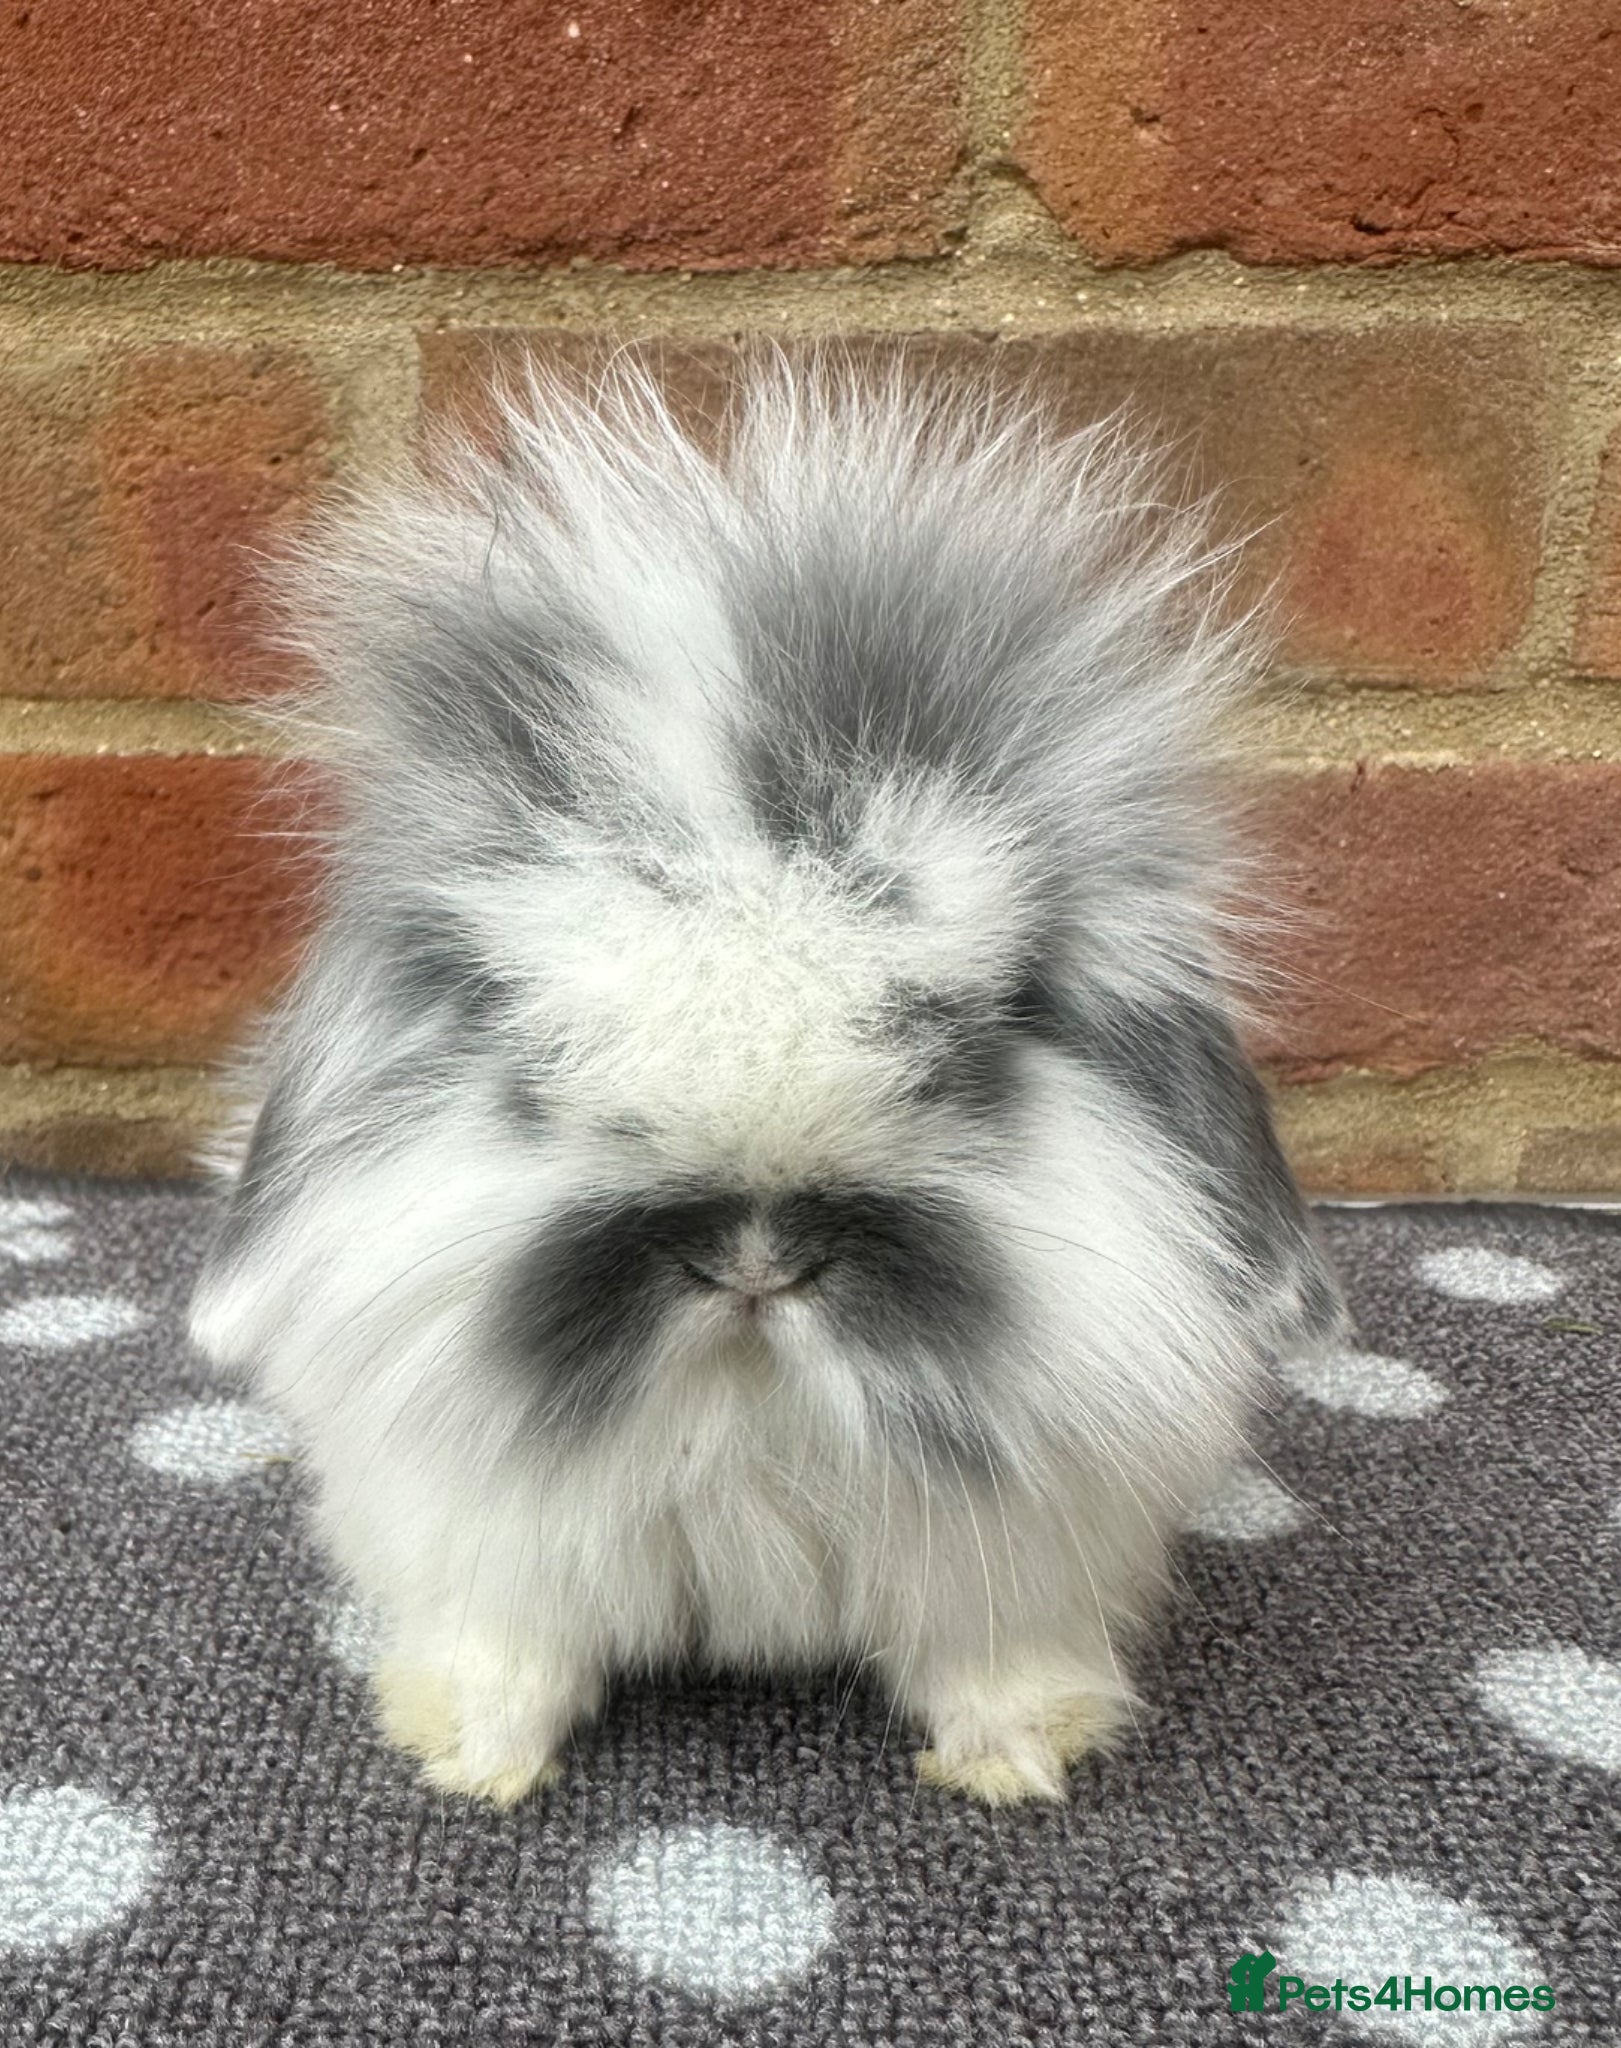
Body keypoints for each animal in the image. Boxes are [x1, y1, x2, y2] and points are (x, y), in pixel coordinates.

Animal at [187, 349, 1345, 1808]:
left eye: (965, 1052)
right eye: (534, 1068)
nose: (752, 1260)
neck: (745, 1413)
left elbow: (990, 1649)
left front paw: (1020, 1755)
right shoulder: (482, 1528)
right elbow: (512, 1640)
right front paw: (471, 1754)